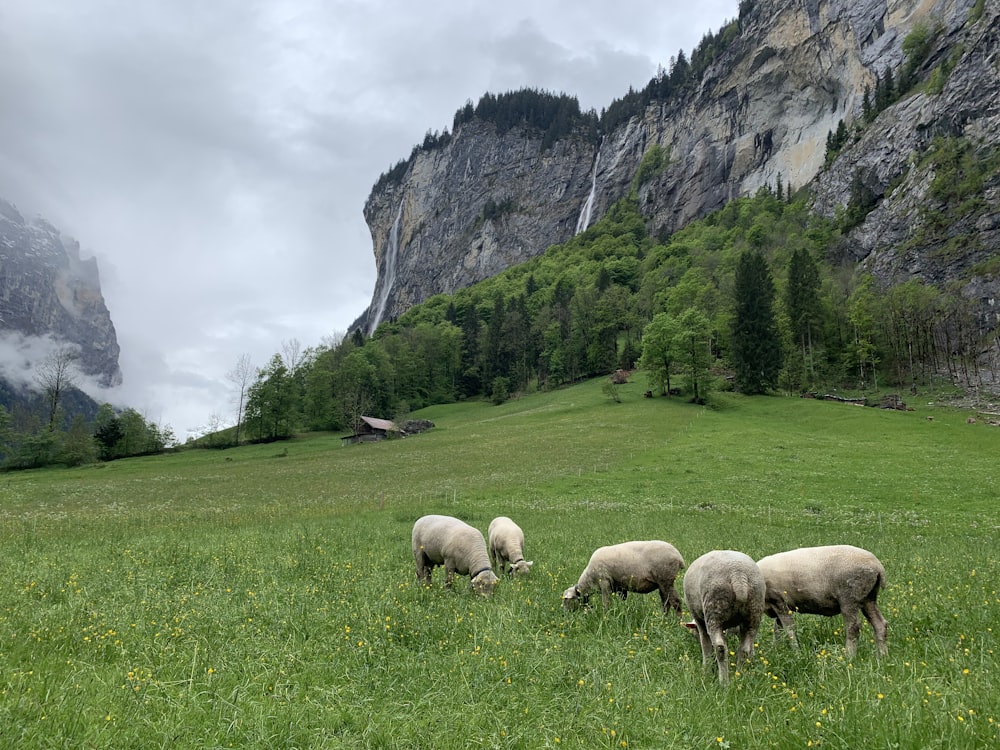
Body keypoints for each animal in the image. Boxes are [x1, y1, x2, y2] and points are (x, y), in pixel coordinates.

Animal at [680, 548, 764, 684]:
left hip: (714, 609)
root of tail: (738, 575)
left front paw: (706, 670)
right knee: (745, 648)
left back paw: (723, 681)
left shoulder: (700, 620)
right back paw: (740, 676)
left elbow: (705, 643)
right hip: (754, 610)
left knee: (720, 648)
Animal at [752, 548, 888, 656]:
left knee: (853, 627)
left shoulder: (779, 601)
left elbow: (789, 630)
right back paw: (882, 656)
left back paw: (849, 656)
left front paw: (796, 653)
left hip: (849, 597)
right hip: (868, 597)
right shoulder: (779, 606)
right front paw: (775, 650)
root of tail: (878, 567)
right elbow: (778, 631)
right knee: (880, 624)